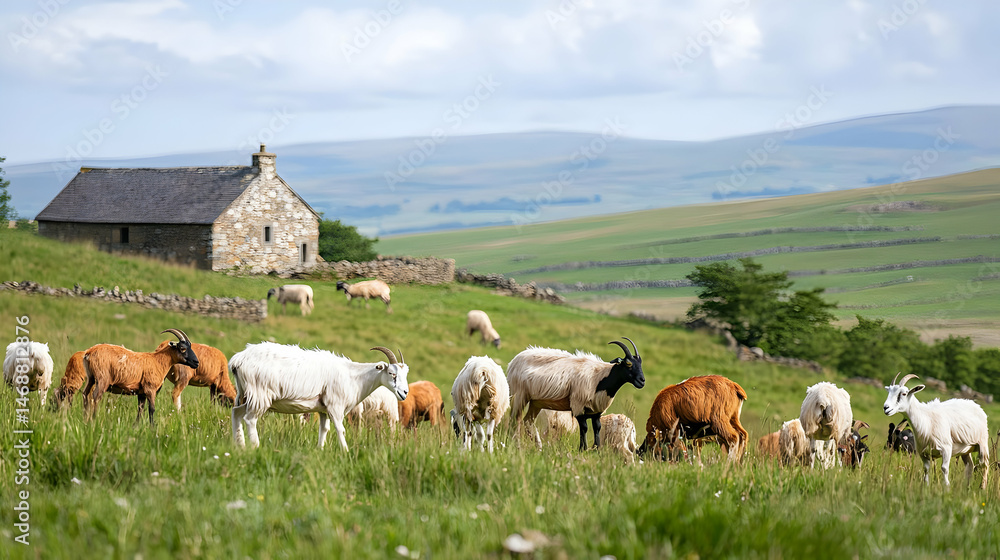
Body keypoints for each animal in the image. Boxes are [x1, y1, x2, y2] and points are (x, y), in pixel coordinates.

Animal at [230, 344, 408, 451]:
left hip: (248, 395)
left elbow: (324, 429)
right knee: (250, 419)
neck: (354, 377)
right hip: (260, 395)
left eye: (405, 374)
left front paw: (320, 450)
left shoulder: (324, 410)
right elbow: (340, 429)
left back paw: (240, 445)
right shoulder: (335, 406)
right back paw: (255, 446)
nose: (405, 393)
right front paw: (345, 452)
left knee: (236, 413)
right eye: (392, 373)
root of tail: (237, 360)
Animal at [508, 337, 645, 451]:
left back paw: (538, 446)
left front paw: (596, 449)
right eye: (628, 363)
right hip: (518, 395)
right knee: (515, 419)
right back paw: (514, 442)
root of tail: (514, 360)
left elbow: (597, 427)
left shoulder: (596, 411)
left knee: (528, 421)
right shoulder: (578, 406)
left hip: (536, 402)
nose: (642, 381)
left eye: (640, 363)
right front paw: (582, 449)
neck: (600, 378)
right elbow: (584, 428)